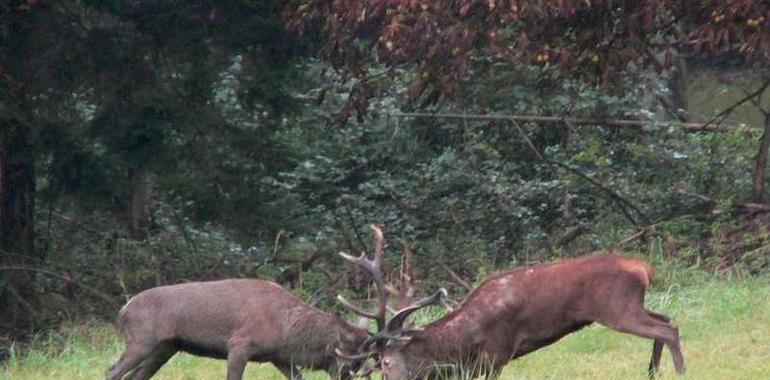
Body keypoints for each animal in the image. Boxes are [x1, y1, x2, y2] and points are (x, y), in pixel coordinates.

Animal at [106, 276, 372, 380]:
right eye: (351, 359)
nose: (348, 376)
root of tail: (123, 311)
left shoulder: (279, 357)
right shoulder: (240, 345)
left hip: (165, 348)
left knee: (135, 376)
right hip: (141, 341)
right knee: (112, 371)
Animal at [336, 226, 684, 380]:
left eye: (386, 363)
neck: (464, 342)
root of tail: (643, 268)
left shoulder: (497, 353)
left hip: (616, 307)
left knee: (667, 329)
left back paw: (679, 372)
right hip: (631, 304)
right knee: (666, 319)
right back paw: (652, 372)